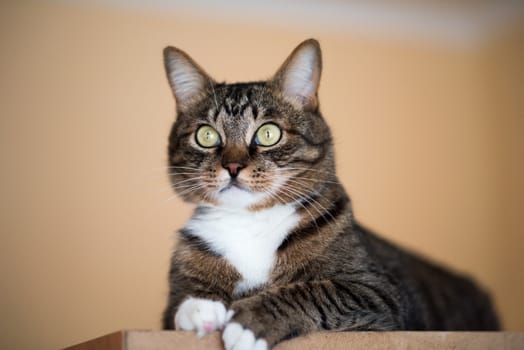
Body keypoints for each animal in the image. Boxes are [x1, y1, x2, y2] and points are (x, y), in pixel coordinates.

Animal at [161, 39, 500, 350]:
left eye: (268, 133)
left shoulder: (379, 294)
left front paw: (250, 322)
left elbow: (316, 291)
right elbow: (178, 307)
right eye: (206, 136)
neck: (248, 222)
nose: (232, 166)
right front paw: (197, 307)